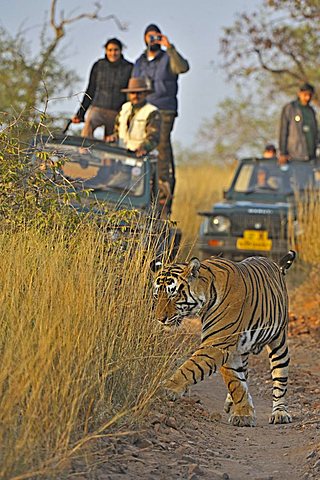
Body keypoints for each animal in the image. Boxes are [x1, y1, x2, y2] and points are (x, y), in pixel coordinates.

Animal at [151, 251, 296, 428]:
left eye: (173, 295)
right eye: (157, 296)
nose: (160, 319)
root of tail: (274, 264)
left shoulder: (218, 342)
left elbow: (189, 369)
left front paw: (167, 389)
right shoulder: (228, 348)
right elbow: (236, 383)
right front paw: (243, 413)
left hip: (279, 343)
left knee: (280, 379)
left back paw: (280, 413)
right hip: (243, 349)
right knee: (245, 372)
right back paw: (231, 402)